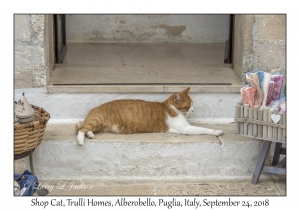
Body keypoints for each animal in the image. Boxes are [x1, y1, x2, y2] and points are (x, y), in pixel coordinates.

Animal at [75, 87, 223, 146]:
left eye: (192, 104)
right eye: (188, 106)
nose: (193, 110)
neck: (170, 108)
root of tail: (94, 108)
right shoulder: (185, 128)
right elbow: (204, 129)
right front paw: (217, 131)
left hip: (99, 125)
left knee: (86, 128)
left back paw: (90, 135)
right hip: (97, 120)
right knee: (81, 129)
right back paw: (81, 140)